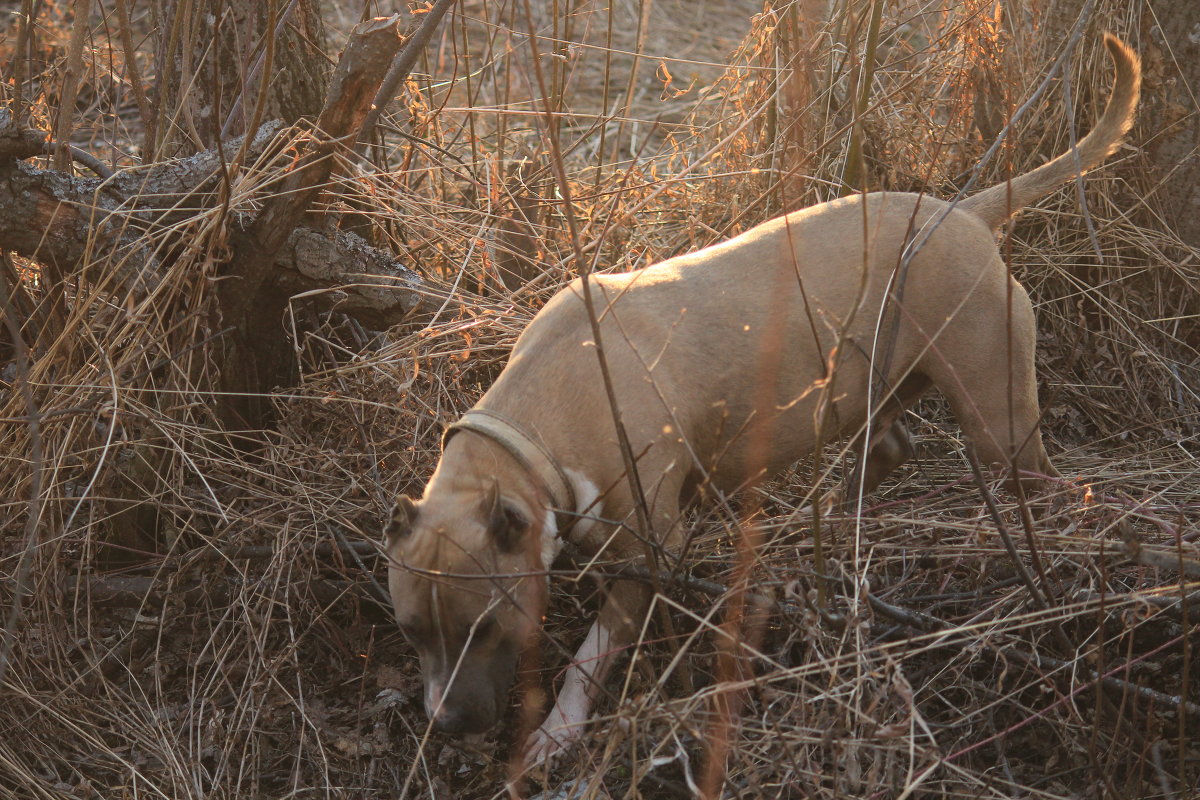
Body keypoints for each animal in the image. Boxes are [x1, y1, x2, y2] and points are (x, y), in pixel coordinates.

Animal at [384, 37, 1132, 767]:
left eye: (484, 626)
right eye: (411, 630)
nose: (445, 724)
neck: (535, 428)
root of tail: (962, 213)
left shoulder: (653, 549)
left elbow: (591, 656)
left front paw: (558, 731)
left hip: (997, 420)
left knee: (1046, 483)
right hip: (875, 393)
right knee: (890, 447)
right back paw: (833, 526)